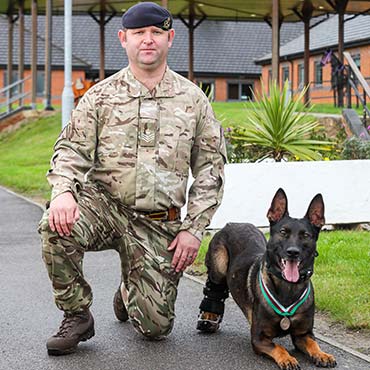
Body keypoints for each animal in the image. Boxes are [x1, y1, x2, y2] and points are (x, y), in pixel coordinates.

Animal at [198, 189, 336, 368]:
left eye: (305, 235)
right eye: (283, 232)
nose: (293, 252)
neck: (288, 288)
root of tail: (232, 223)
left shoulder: (303, 334)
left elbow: (313, 343)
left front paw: (322, 354)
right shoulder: (259, 338)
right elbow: (278, 347)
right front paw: (287, 358)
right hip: (219, 268)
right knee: (215, 286)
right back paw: (209, 316)